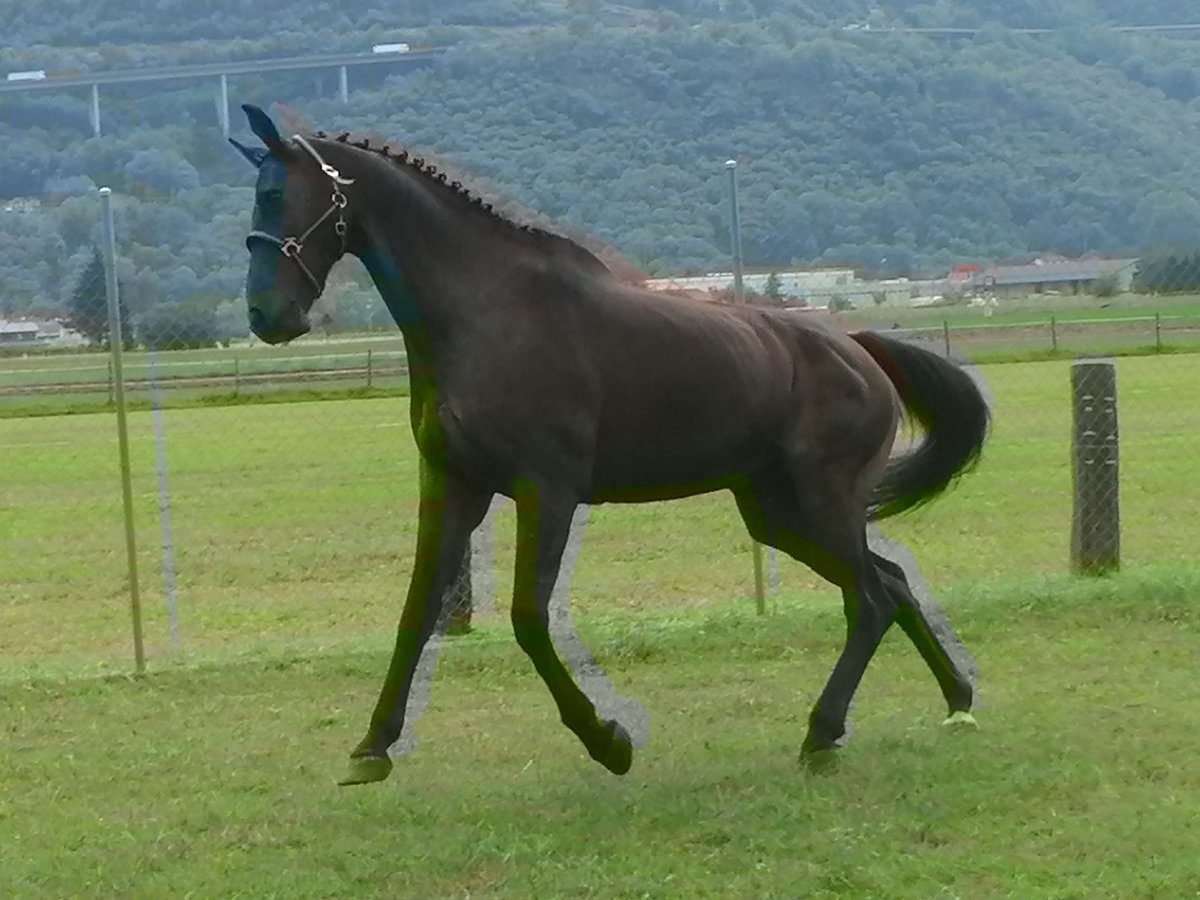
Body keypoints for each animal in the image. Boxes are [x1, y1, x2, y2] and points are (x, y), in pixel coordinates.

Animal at [229, 102, 988, 787]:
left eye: (276, 194)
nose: (266, 315)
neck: (485, 313)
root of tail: (857, 347)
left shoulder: (548, 492)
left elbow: (529, 619)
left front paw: (608, 739)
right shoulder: (453, 486)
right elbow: (418, 610)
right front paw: (373, 747)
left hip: (821, 503)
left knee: (872, 600)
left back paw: (823, 732)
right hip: (778, 513)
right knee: (891, 584)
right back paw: (955, 701)